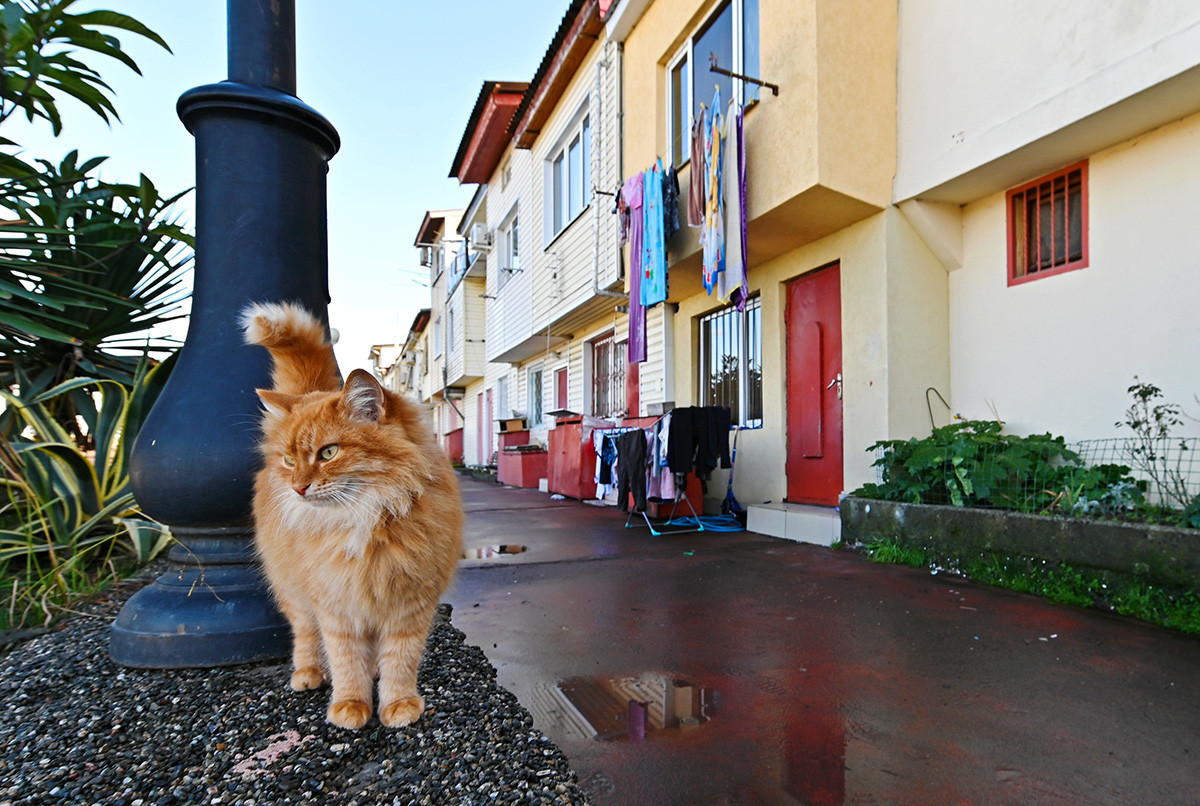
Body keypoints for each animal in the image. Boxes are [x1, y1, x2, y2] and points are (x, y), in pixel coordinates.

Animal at [241, 302, 460, 729]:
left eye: (328, 453)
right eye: (290, 461)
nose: (299, 487)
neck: (369, 519)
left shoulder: (408, 605)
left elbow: (400, 661)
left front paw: (398, 705)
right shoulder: (335, 606)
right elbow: (344, 661)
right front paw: (350, 705)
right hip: (293, 591)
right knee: (305, 634)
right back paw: (308, 673)